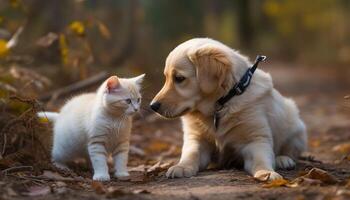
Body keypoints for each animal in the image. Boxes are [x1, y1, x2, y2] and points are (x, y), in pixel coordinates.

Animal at [150, 38, 306, 181]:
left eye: (179, 78)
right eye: (166, 77)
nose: (152, 106)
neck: (220, 105)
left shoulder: (255, 140)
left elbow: (261, 159)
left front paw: (266, 172)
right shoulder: (196, 138)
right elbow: (191, 153)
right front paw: (181, 166)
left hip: (296, 128)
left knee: (290, 150)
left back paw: (283, 159)